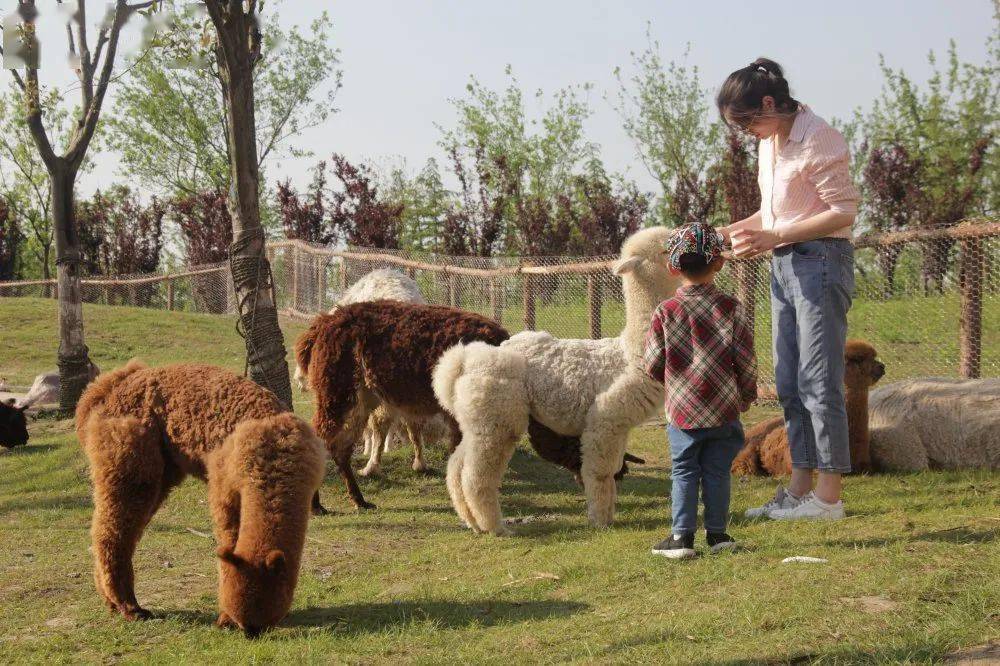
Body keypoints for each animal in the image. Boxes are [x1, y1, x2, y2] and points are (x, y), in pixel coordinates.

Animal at [434, 226, 684, 532]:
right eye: (665, 249)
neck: (630, 354)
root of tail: (464, 362)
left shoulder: (620, 426)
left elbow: (612, 468)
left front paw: (607, 515)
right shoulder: (605, 418)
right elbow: (599, 472)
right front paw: (600, 521)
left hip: (476, 421)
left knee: (456, 467)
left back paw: (473, 522)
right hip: (497, 419)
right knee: (476, 475)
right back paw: (496, 527)